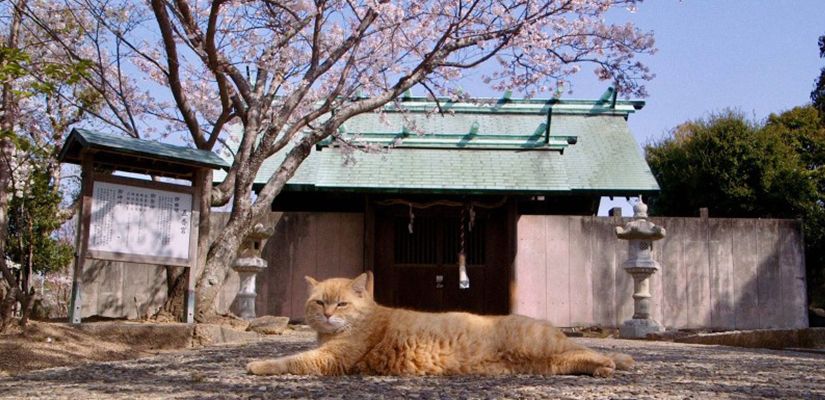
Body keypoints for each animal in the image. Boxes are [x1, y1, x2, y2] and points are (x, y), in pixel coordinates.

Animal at [245, 272, 632, 378]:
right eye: (319, 302)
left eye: (340, 303)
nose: (327, 314)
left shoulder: (329, 359)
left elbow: (291, 360)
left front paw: (256, 364)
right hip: (548, 363)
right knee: (580, 355)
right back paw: (611, 366)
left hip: (542, 346)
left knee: (589, 349)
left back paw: (614, 363)